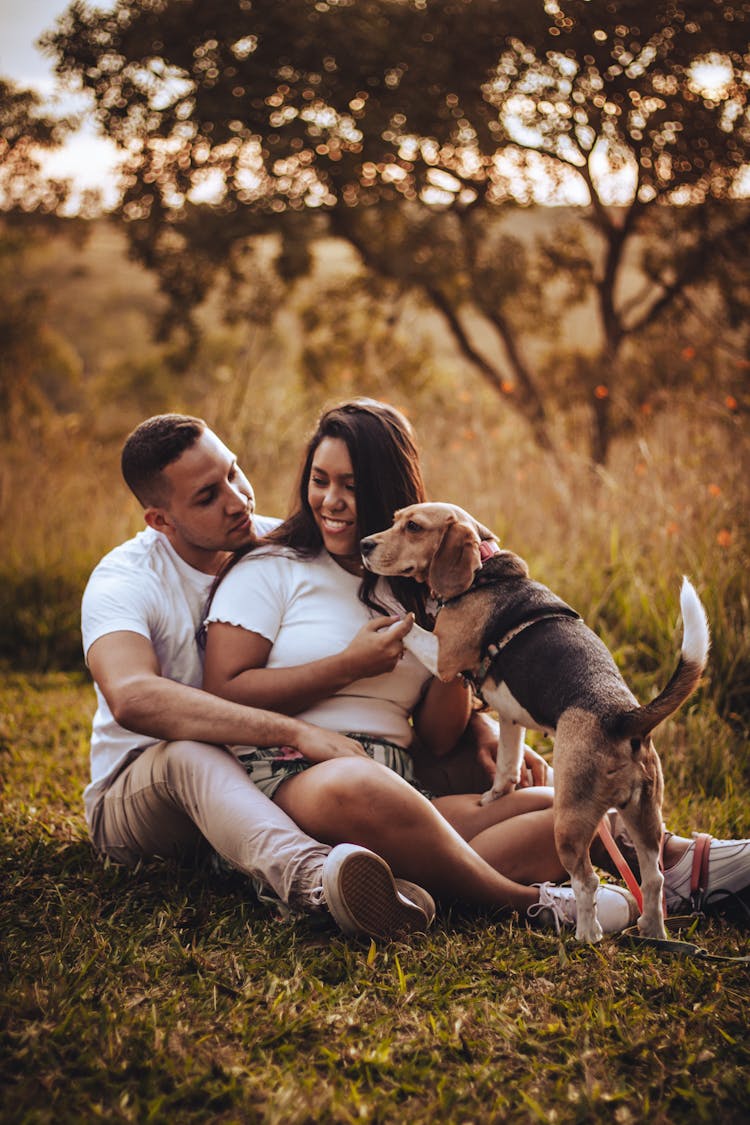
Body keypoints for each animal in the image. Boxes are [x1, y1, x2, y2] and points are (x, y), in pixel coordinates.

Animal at [359, 504, 715, 940]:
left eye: (413, 527)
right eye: (395, 519)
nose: (364, 545)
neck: (484, 571)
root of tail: (622, 716)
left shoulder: (442, 655)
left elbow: (406, 623)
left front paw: (389, 614)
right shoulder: (511, 718)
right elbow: (507, 766)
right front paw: (494, 796)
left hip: (569, 824)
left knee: (586, 881)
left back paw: (587, 936)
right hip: (644, 816)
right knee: (653, 878)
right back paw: (652, 931)